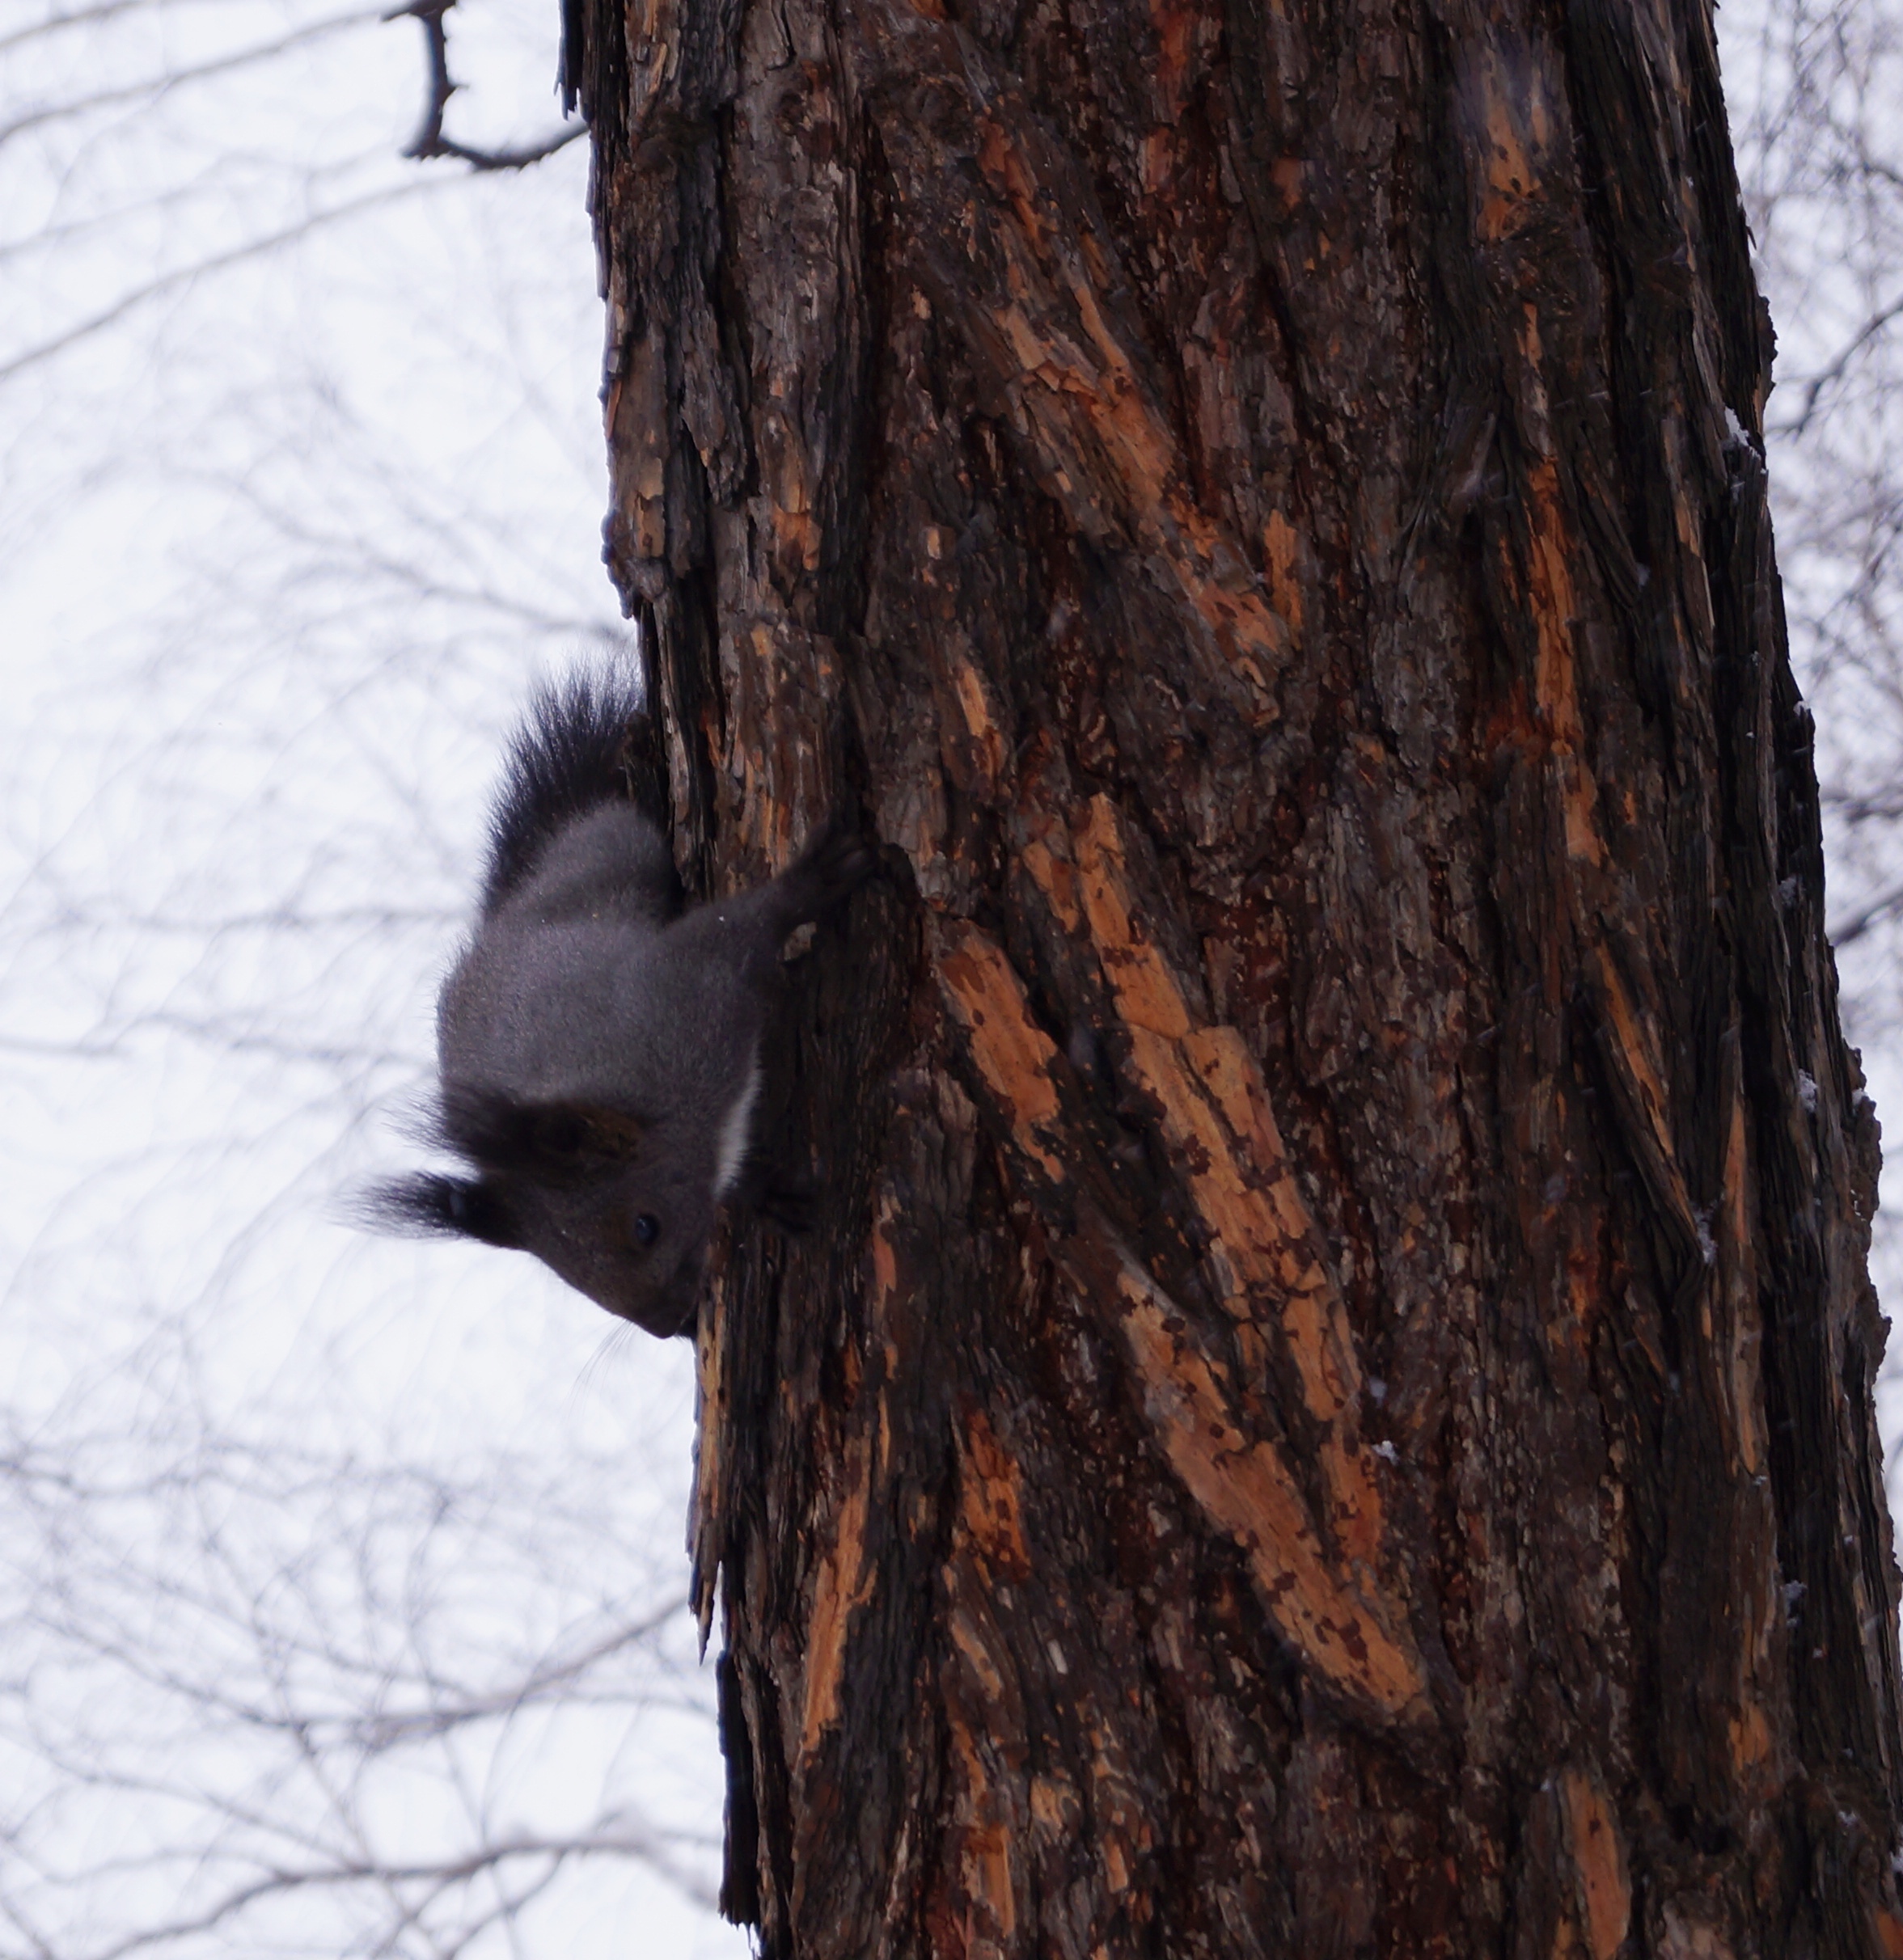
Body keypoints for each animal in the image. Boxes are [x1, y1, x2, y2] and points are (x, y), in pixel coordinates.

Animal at [368, 667, 875, 1337]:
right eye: (567, 1276)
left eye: (644, 1227)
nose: (666, 1325)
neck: (663, 1104)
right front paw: (763, 1192)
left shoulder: (687, 997)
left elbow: (741, 925)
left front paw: (813, 879)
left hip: (618, 855)